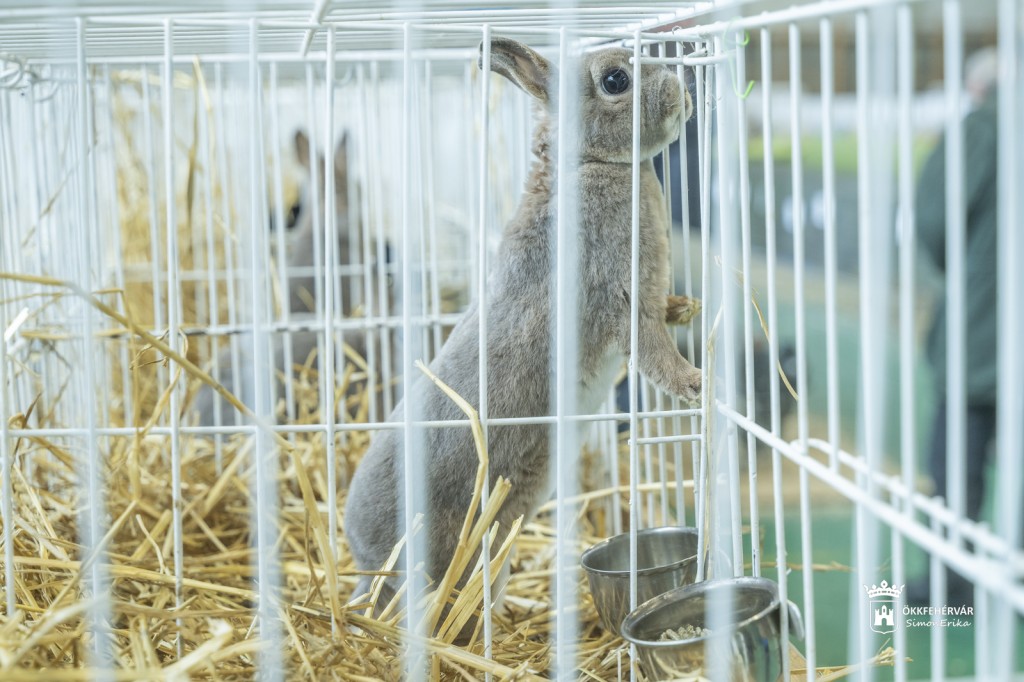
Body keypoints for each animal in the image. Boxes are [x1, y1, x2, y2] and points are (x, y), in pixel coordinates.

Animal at [343, 36, 701, 634]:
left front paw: (689, 308)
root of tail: (367, 563)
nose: (681, 87)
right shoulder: (625, 297)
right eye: (615, 80)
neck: (588, 165)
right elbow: (654, 353)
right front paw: (697, 383)